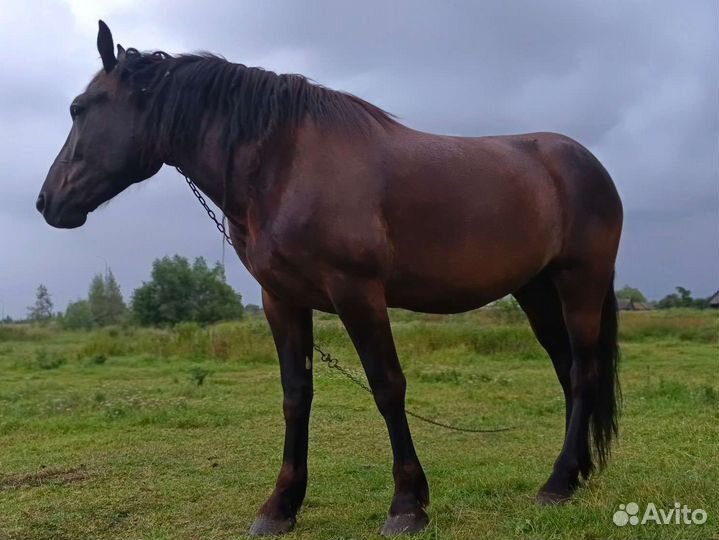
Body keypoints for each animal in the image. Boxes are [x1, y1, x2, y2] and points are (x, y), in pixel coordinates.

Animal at [37, 21, 623, 536]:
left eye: (78, 109)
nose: (47, 202)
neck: (285, 164)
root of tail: (585, 163)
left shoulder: (357, 292)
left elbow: (387, 386)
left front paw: (407, 505)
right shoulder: (281, 299)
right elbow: (296, 395)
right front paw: (280, 506)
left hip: (580, 285)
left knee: (582, 373)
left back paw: (557, 483)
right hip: (536, 290)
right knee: (567, 370)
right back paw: (574, 474)